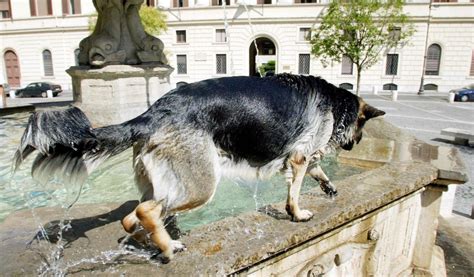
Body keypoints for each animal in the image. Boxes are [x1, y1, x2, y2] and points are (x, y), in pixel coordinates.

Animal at [12, 73, 386, 260]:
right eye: (362, 128)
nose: (354, 145)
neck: (337, 104)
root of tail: (152, 113)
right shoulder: (299, 156)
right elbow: (295, 188)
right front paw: (297, 213)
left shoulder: (301, 157)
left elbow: (314, 171)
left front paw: (328, 186)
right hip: (200, 185)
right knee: (147, 210)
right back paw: (167, 247)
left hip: (162, 182)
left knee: (132, 216)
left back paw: (154, 241)